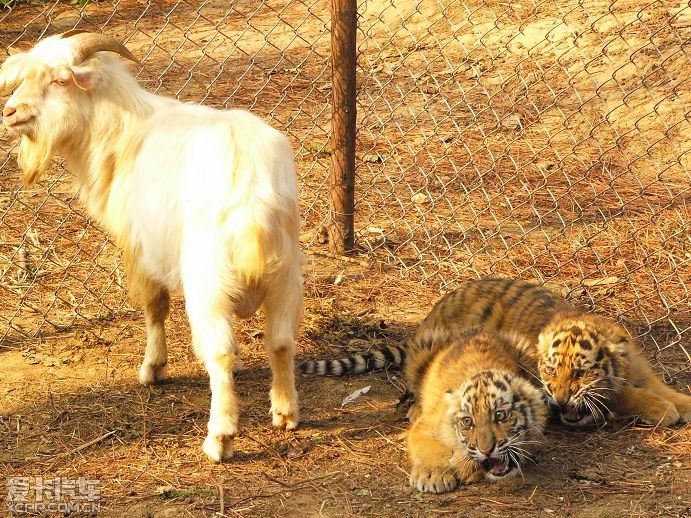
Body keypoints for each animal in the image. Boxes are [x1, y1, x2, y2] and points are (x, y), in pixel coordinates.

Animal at [0, 31, 302, 464]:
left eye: (60, 79)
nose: (10, 113)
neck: (122, 131)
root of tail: (252, 185)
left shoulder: (139, 247)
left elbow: (155, 307)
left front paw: (153, 369)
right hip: (286, 272)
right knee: (280, 341)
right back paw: (285, 412)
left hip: (208, 281)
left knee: (220, 352)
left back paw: (219, 438)